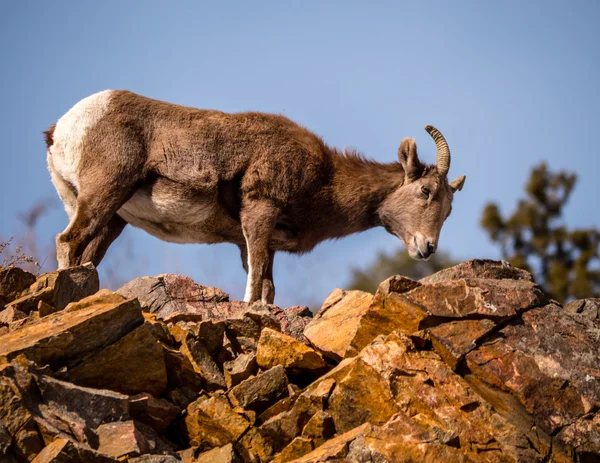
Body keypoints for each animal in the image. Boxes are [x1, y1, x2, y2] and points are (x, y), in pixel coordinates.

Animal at [45, 90, 464, 304]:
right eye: (425, 191)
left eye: (448, 211)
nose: (427, 248)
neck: (324, 181)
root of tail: (64, 127)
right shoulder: (260, 213)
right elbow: (256, 284)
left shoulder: (256, 241)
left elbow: (267, 287)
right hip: (105, 193)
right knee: (68, 241)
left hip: (111, 218)